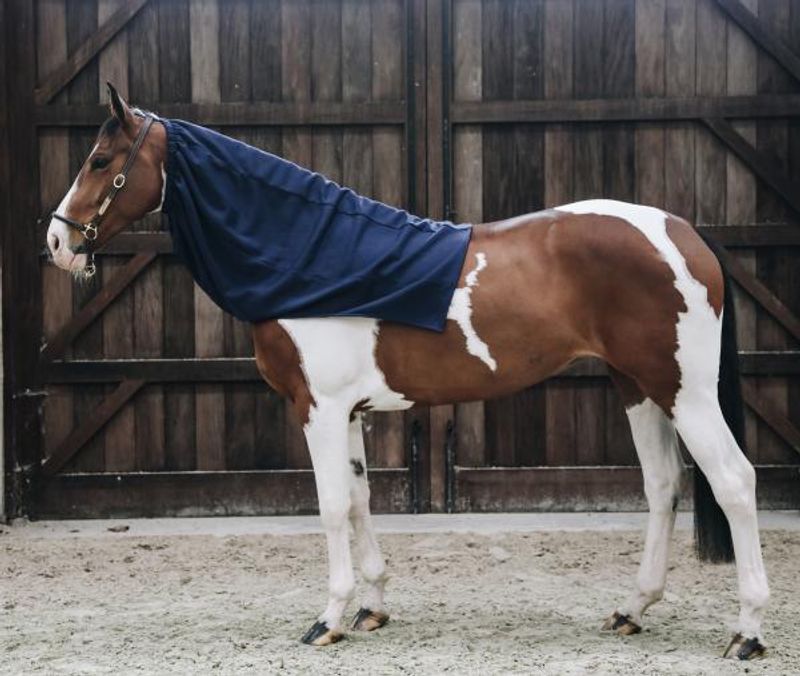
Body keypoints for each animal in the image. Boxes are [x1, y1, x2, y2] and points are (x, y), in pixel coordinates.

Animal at [44, 83, 768, 660]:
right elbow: (362, 500)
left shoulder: (318, 410)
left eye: (101, 161)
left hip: (684, 391)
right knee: (663, 486)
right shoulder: (349, 414)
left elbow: (332, 507)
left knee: (734, 481)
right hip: (638, 387)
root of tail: (684, 230)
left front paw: (328, 619)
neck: (312, 255)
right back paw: (632, 609)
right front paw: (372, 608)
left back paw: (748, 632)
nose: (58, 241)